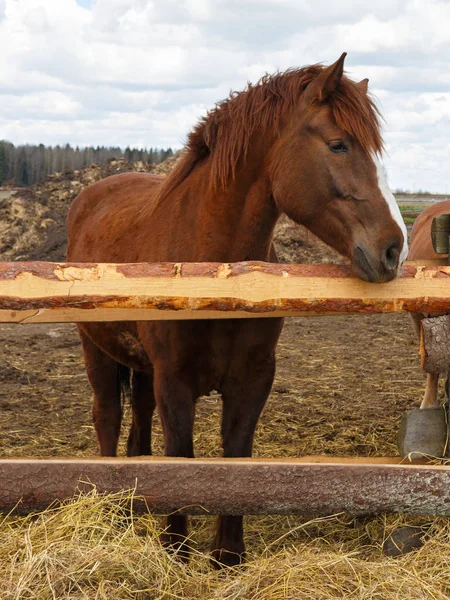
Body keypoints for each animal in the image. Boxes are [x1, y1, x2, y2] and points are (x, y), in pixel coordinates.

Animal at [67, 52, 408, 568]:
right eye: (339, 144)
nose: (393, 249)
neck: (218, 273)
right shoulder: (175, 381)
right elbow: (182, 457)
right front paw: (177, 550)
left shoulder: (253, 378)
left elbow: (237, 456)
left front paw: (226, 555)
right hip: (97, 351)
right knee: (108, 418)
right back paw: (114, 514)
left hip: (142, 368)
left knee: (139, 425)